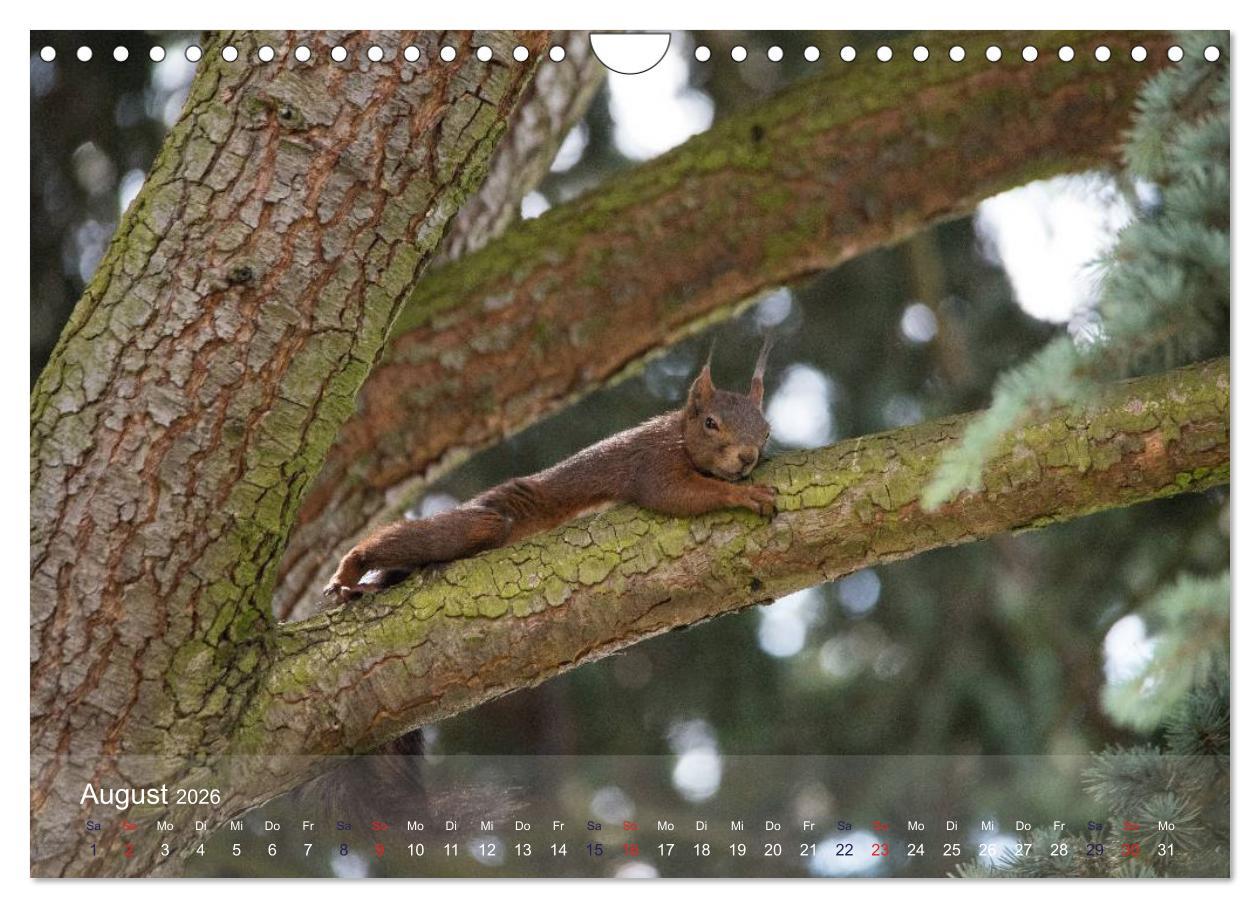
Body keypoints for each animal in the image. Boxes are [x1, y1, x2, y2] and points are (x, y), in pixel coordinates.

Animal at [324, 340, 777, 603]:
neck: (678, 435)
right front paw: (743, 495)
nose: (747, 457)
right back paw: (351, 567)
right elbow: (675, 495)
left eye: (767, 431)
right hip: (486, 522)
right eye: (711, 423)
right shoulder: (652, 463)